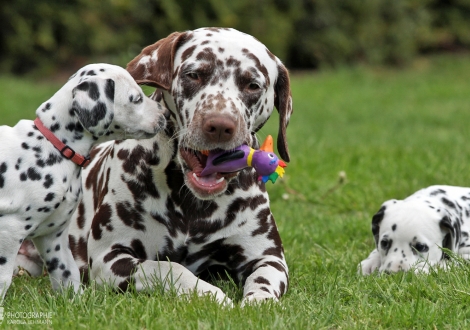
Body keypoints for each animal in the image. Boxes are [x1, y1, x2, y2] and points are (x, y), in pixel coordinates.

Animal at [0, 63, 169, 300]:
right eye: (136, 98)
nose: (165, 114)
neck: (54, 146)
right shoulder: (10, 229)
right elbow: (2, 280)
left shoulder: (54, 238)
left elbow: (67, 275)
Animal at [19, 28, 294, 306]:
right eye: (194, 74)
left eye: (252, 85)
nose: (219, 125)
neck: (194, 207)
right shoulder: (111, 258)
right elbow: (168, 267)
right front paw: (211, 294)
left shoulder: (268, 258)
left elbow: (264, 282)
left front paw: (257, 302)